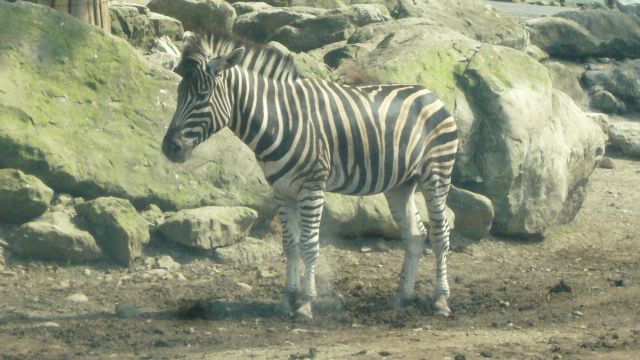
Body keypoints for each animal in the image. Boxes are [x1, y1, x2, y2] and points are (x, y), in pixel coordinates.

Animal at [162, 34, 458, 320]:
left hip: (436, 174)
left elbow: (309, 246)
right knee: (415, 234)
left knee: (440, 234)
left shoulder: (312, 187)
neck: (278, 119)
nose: (169, 148)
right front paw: (286, 300)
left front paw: (305, 304)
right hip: (400, 184)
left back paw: (441, 300)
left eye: (203, 94)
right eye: (178, 93)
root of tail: (429, 93)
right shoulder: (283, 192)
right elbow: (290, 246)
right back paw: (402, 297)